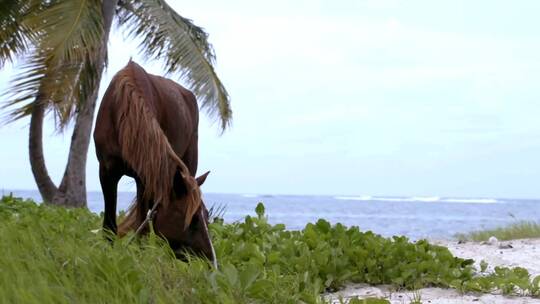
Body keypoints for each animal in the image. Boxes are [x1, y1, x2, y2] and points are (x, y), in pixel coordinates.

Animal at [94, 60, 216, 266]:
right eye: (192, 221)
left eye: (207, 217)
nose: (212, 263)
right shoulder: (107, 172)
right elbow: (110, 225)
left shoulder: (144, 176)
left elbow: (142, 225)